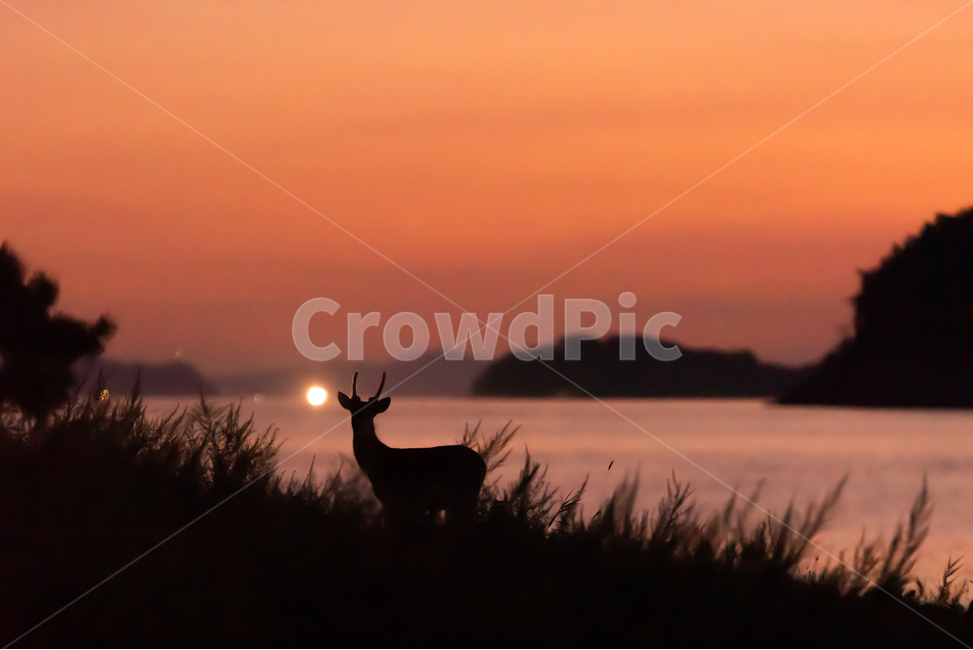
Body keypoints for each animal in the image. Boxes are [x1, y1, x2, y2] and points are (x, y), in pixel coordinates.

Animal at [337, 372, 487, 526]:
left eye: (372, 412)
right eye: (352, 410)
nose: (360, 426)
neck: (378, 461)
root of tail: (482, 464)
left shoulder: (394, 499)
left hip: (463, 495)